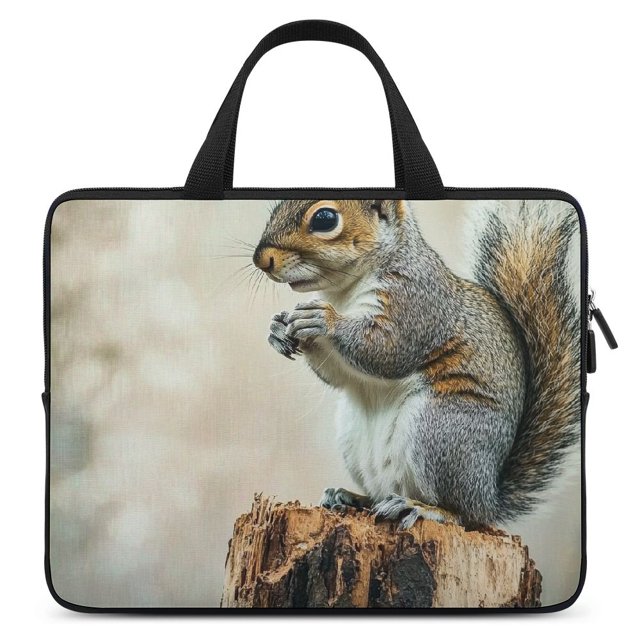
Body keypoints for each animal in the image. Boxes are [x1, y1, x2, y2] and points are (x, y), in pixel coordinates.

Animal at [253, 199, 580, 528]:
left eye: (324, 219)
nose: (261, 260)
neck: (344, 292)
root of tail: (488, 497)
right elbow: (337, 375)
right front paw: (277, 329)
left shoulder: (417, 302)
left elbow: (389, 350)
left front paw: (324, 320)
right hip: (355, 436)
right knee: (380, 495)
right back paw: (351, 496)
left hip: (442, 430)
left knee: (462, 513)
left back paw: (425, 509)